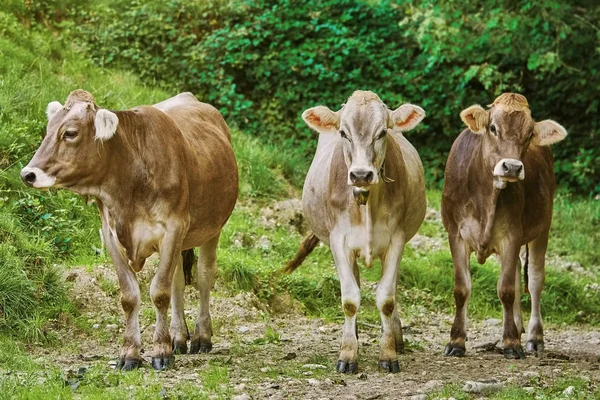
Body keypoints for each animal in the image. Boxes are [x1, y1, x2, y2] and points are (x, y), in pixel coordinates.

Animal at [21, 89, 237, 370]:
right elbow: (130, 296)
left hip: (212, 228)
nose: (28, 174)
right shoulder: (111, 235)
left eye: (70, 133)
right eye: (48, 129)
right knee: (178, 281)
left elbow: (159, 292)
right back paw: (178, 337)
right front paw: (130, 353)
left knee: (204, 276)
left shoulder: (173, 228)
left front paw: (161, 352)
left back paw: (201, 337)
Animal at [286, 92, 426, 374]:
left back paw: (396, 336)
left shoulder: (396, 241)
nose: (361, 174)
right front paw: (348, 353)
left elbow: (386, 298)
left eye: (382, 132)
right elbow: (350, 299)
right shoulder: (338, 242)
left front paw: (388, 352)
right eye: (343, 132)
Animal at [440, 94, 568, 360]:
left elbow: (507, 289)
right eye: (492, 128)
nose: (512, 167)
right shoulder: (455, 234)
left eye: (529, 134)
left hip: (543, 227)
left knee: (535, 279)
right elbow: (461, 288)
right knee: (519, 271)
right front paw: (456, 341)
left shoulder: (511, 235)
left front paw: (511, 343)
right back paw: (517, 327)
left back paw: (533, 337)